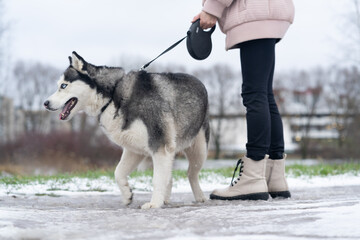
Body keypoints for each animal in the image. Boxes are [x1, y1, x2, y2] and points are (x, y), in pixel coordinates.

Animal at [43, 51, 210, 209]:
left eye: (63, 86)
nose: (45, 103)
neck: (112, 96)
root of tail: (199, 81)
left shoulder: (160, 146)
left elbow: (157, 179)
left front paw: (154, 204)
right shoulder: (134, 150)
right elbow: (118, 172)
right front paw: (127, 194)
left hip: (199, 150)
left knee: (191, 173)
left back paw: (200, 196)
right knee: (170, 175)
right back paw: (166, 198)